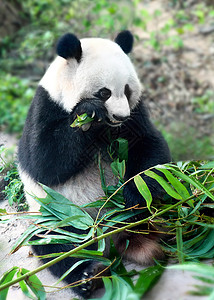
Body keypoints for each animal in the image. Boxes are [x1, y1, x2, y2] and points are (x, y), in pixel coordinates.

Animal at [18, 30, 171, 298]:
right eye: (104, 92)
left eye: (127, 90)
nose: (120, 116)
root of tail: (115, 236)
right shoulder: (46, 106)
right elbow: (43, 163)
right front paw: (88, 112)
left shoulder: (135, 115)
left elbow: (149, 147)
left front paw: (135, 196)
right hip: (58, 216)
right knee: (56, 245)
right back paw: (89, 275)